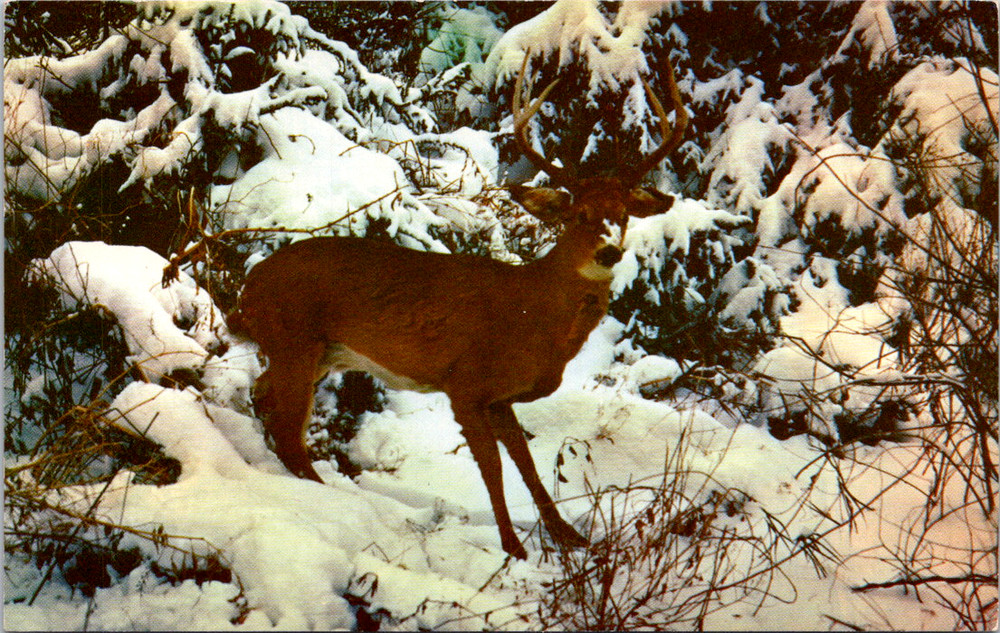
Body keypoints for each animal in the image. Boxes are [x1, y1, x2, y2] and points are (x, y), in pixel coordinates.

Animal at [227, 53, 688, 560]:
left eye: (622, 216)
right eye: (577, 216)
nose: (608, 252)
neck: (535, 316)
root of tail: (248, 287)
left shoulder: (501, 398)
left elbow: (528, 465)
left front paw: (569, 535)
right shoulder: (465, 384)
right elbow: (494, 470)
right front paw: (513, 546)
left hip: (316, 354)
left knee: (264, 398)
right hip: (295, 339)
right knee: (290, 433)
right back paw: (331, 498)